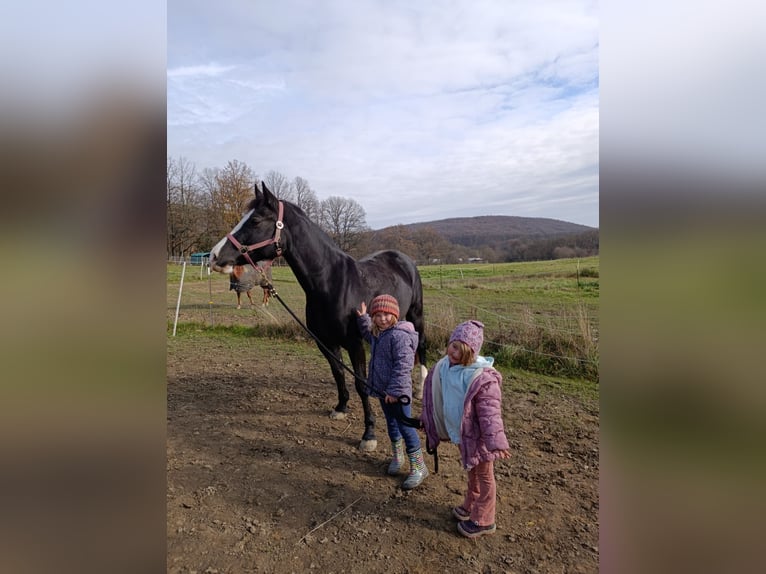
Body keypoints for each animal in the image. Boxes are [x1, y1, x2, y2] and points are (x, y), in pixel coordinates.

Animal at [209, 182, 427, 451]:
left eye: (256, 220)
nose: (214, 256)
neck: (332, 283)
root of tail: (403, 258)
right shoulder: (325, 342)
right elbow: (338, 373)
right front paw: (341, 408)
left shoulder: (355, 343)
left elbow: (361, 384)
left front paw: (369, 434)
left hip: (416, 314)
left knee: (422, 345)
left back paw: (420, 389)